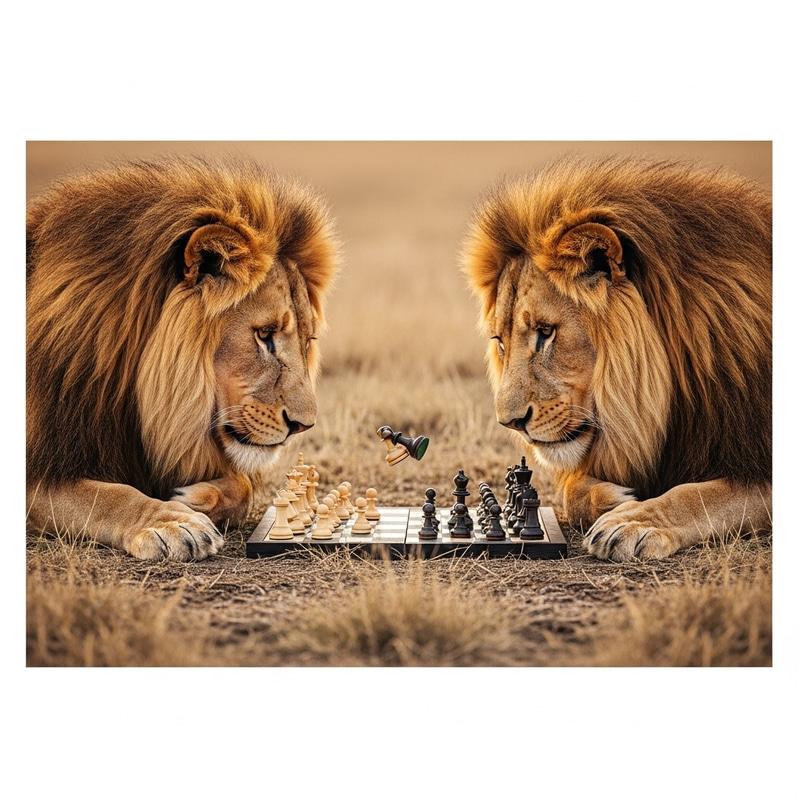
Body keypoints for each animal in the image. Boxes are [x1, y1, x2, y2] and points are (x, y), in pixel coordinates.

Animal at [26, 154, 338, 561]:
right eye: (265, 334)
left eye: (308, 340)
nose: (304, 426)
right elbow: (107, 497)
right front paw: (172, 522)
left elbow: (244, 487)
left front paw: (190, 498)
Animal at [462, 153, 771, 561]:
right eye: (500, 342)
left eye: (546, 332)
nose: (511, 424)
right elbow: (569, 491)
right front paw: (616, 499)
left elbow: (701, 496)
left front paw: (634, 521)